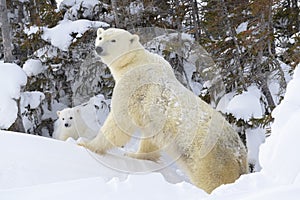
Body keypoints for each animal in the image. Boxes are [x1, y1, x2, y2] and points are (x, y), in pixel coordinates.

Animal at [79, 28, 246, 194]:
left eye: (113, 40)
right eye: (100, 37)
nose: (98, 48)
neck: (135, 62)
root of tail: (239, 154)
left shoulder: (131, 87)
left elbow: (118, 123)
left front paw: (86, 144)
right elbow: (150, 139)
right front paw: (136, 155)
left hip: (208, 157)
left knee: (212, 180)